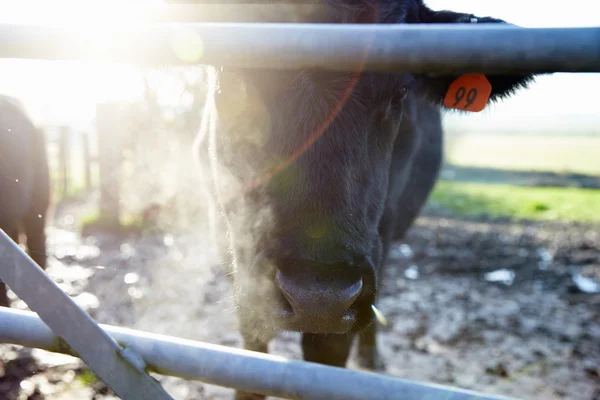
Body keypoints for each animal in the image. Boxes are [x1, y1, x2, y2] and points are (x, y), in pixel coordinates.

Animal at [195, 1, 536, 398]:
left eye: (400, 92)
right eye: (232, 77)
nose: (317, 295)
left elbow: (327, 353)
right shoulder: (235, 248)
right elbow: (252, 345)